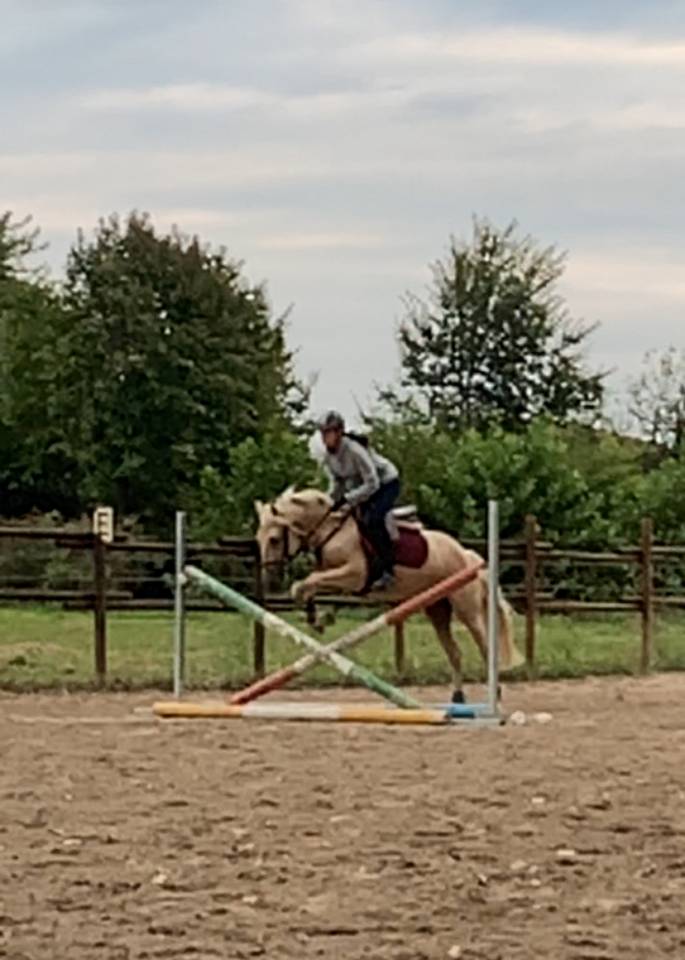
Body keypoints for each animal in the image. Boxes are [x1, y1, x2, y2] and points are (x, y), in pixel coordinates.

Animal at [254, 487, 524, 702]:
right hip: (437, 609)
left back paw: (495, 693)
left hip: (467, 610)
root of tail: (466, 555)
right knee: (455, 652)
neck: (330, 530)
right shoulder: (337, 577)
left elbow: (306, 583)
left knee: (485, 648)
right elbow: (307, 585)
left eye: (274, 539)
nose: (271, 580)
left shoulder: (355, 574)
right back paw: (457, 696)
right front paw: (317, 619)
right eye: (259, 539)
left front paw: (317, 618)